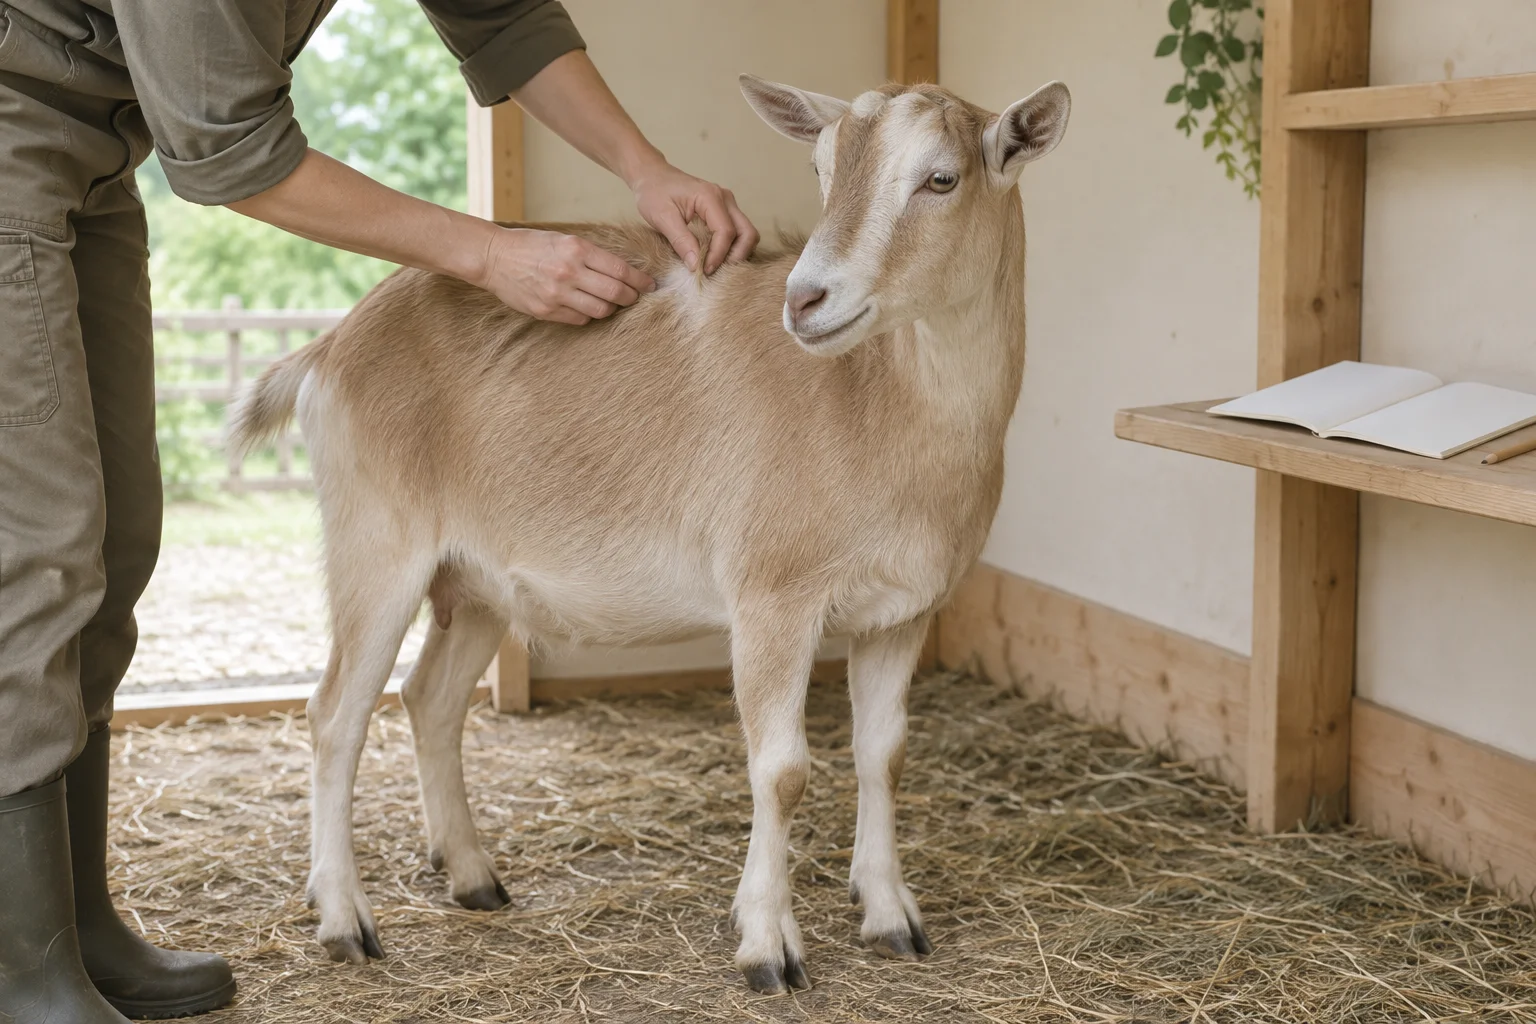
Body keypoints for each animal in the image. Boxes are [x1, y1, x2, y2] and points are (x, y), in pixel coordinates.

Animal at [230, 75, 1070, 994]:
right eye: (820, 170)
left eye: (941, 179)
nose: (805, 300)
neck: (877, 403)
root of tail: (324, 352)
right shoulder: (771, 597)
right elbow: (781, 770)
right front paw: (768, 946)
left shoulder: (901, 611)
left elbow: (883, 754)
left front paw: (892, 918)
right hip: (375, 544)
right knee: (336, 715)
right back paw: (345, 920)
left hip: (477, 580)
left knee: (430, 700)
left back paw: (474, 877)